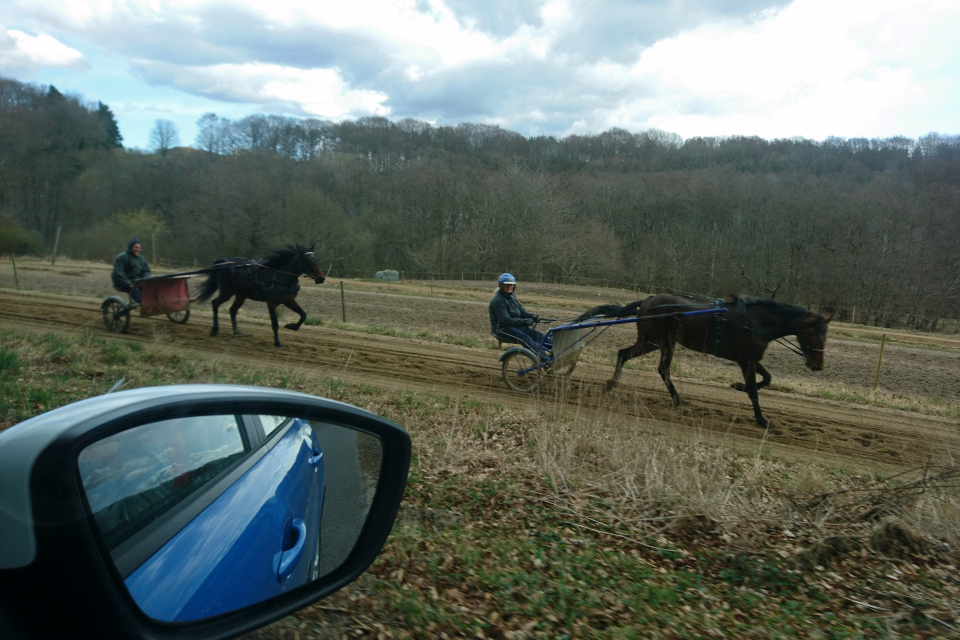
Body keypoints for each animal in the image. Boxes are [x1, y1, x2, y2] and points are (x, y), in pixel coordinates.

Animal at [196, 244, 326, 344]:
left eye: (316, 260)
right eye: (307, 260)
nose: (321, 278)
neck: (280, 276)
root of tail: (225, 263)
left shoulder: (288, 300)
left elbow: (303, 315)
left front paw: (292, 326)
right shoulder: (271, 303)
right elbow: (275, 324)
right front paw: (277, 343)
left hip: (241, 295)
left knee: (232, 310)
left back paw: (236, 331)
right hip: (226, 292)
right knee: (215, 303)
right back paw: (214, 329)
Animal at [576, 294, 832, 424]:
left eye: (826, 337)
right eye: (816, 336)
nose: (817, 366)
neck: (756, 321)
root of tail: (646, 301)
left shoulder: (750, 357)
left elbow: (767, 378)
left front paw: (736, 386)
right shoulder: (745, 360)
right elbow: (753, 391)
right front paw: (761, 419)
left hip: (664, 342)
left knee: (661, 369)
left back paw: (676, 399)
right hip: (651, 340)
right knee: (625, 355)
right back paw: (612, 384)